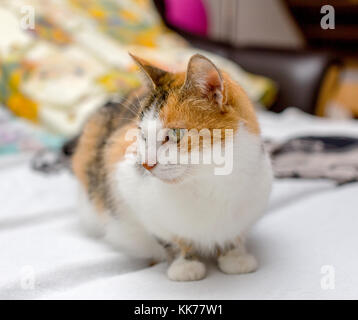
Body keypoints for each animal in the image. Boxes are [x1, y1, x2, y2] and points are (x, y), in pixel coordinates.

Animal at [73, 53, 274, 282]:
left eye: (176, 134)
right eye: (142, 135)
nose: (146, 164)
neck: (209, 181)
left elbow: (235, 233)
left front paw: (235, 256)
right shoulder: (127, 185)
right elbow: (169, 237)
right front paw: (185, 264)